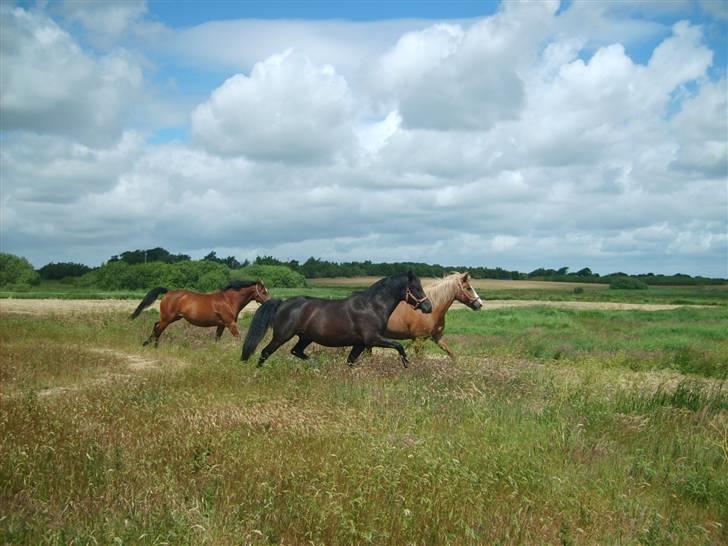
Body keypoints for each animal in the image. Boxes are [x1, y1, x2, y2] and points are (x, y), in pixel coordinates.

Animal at [129, 278, 270, 346]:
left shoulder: (221, 325)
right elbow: (238, 337)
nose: (270, 302)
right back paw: (151, 345)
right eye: (263, 291)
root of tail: (168, 292)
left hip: (172, 318)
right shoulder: (230, 323)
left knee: (156, 326)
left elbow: (217, 339)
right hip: (167, 319)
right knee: (158, 329)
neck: (228, 300)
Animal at [239, 270, 432, 368]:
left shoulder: (360, 344)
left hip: (305, 337)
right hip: (282, 336)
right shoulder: (372, 339)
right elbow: (399, 346)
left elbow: (350, 362)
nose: (428, 307)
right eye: (416, 288)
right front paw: (406, 364)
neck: (372, 306)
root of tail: (283, 303)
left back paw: (316, 365)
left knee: (296, 351)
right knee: (265, 352)